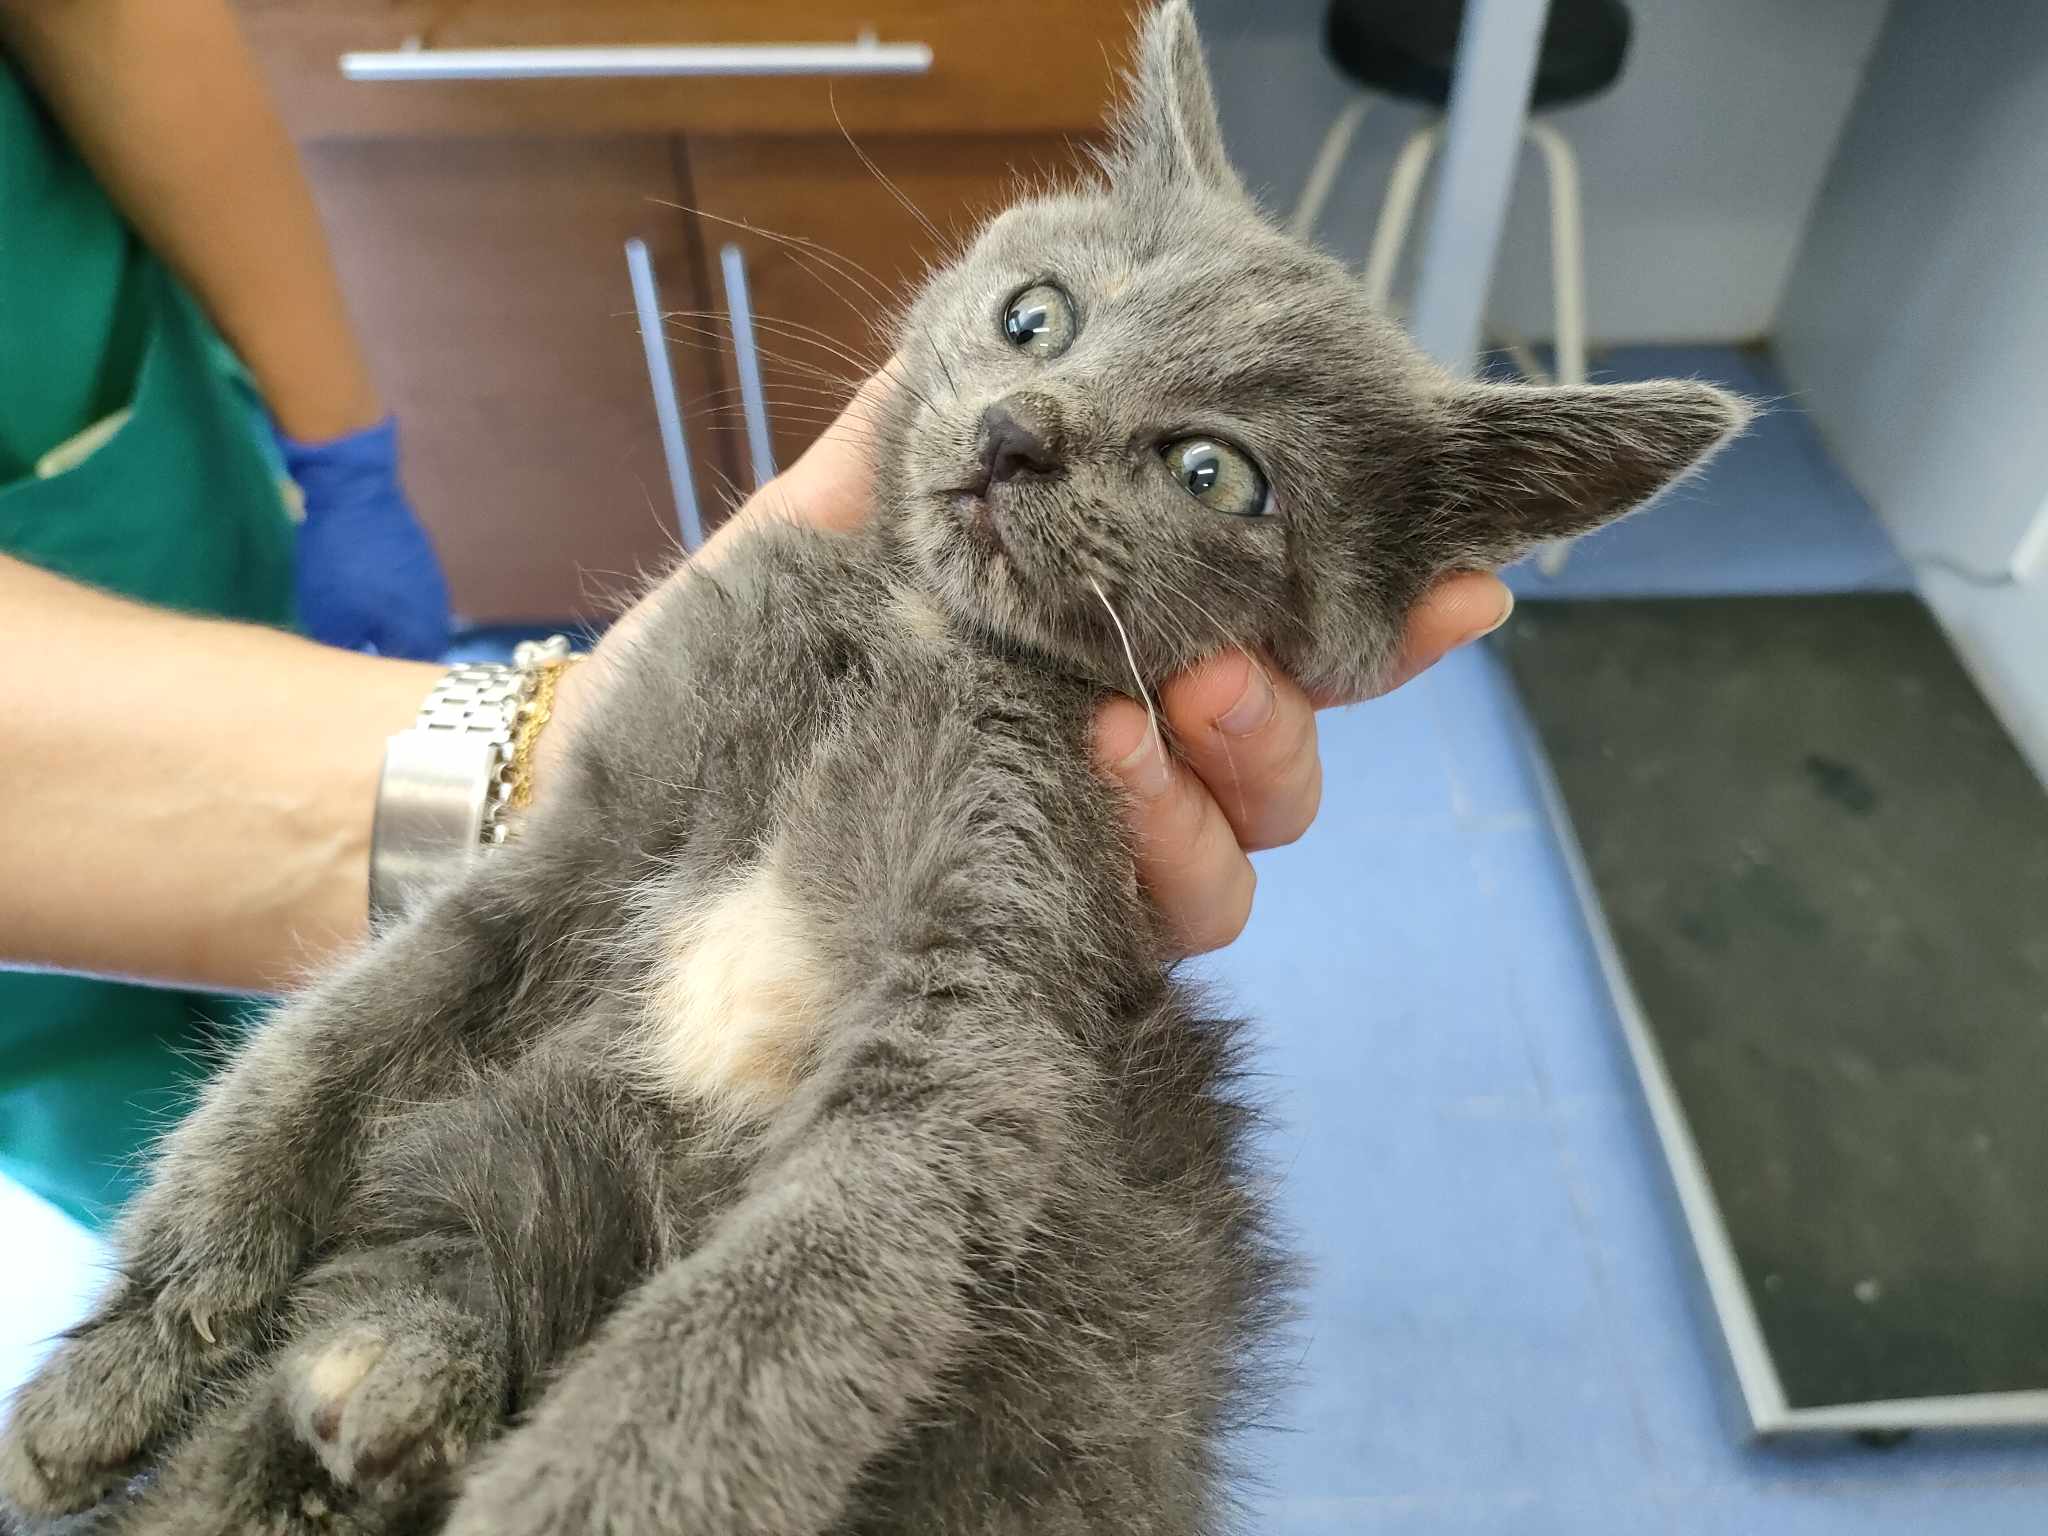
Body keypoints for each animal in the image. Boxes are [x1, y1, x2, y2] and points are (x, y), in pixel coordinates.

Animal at [0, 5, 1747, 1533]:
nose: (1023, 429)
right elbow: (315, 1059)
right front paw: (123, 1354)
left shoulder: (974, 1028)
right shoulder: (578, 852)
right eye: (1039, 314)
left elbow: (766, 1320)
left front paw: (583, 1493)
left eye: (1214, 473)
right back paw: (371, 1388)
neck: (906, 642)